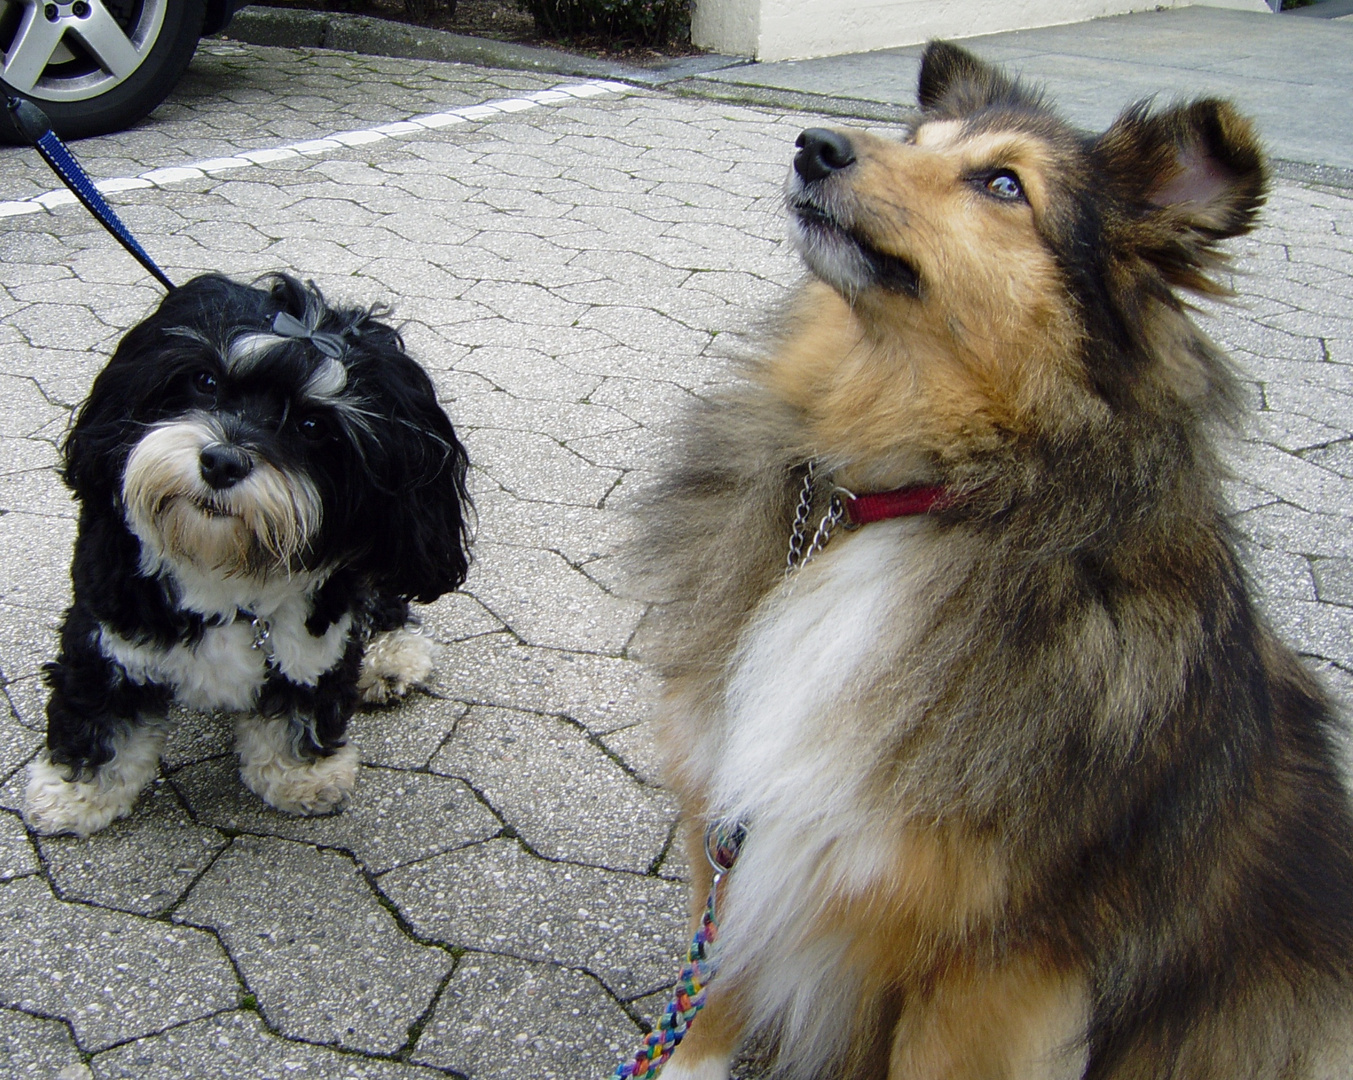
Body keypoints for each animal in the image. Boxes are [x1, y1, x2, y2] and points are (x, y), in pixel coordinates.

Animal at [23, 273, 473, 839]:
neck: (223, 567)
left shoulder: (312, 644)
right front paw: (77, 792)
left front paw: (301, 775)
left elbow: (299, 709)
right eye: (205, 382)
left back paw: (391, 657)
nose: (221, 461)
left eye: (311, 426)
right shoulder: (109, 637)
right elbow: (100, 717)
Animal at [633, 40, 1353, 1080]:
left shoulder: (995, 971)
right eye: (916, 140)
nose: (813, 145)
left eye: (1003, 184)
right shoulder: (728, 828)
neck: (901, 497)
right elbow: (707, 1006)